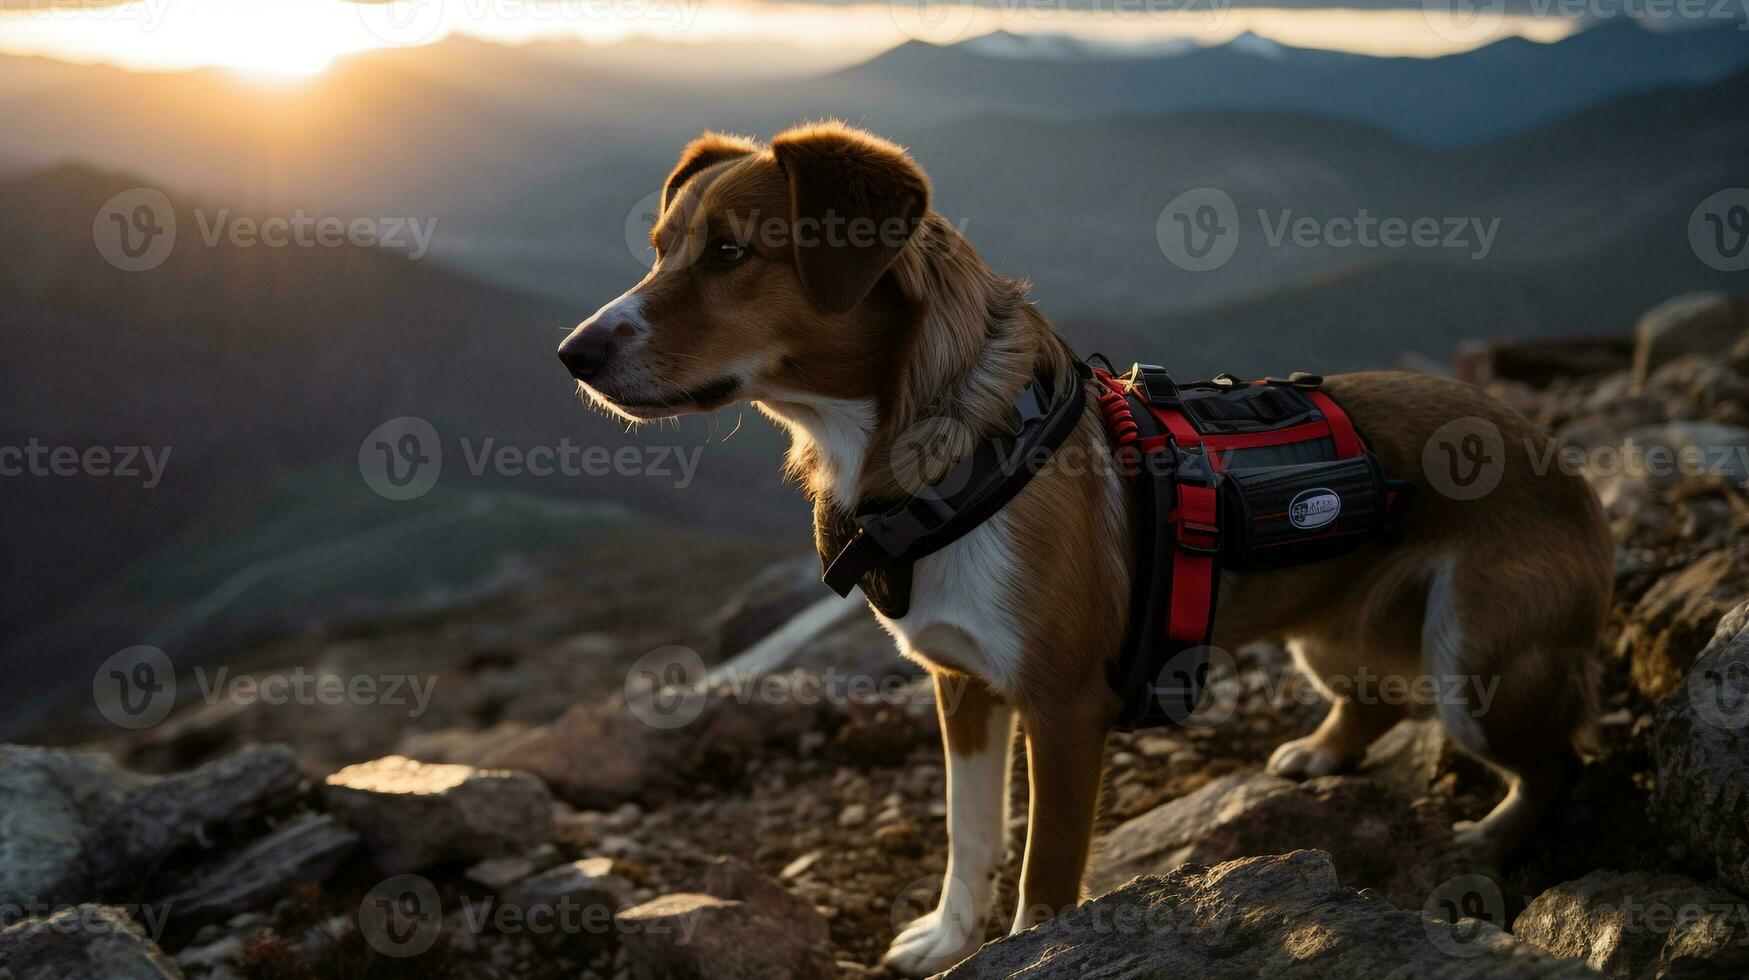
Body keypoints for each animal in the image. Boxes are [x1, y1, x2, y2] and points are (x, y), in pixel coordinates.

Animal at [559, 120, 1609, 973]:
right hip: (1330, 630)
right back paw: (1320, 753)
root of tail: (1559, 461)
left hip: (1473, 660)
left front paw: (1024, 948)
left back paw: (1486, 840)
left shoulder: (1064, 710)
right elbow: (970, 837)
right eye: (659, 250)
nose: (572, 354)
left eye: (730, 252)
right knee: (1370, 697)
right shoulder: (963, 685)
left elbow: (1045, 875)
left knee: (1557, 766)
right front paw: (946, 940)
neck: (944, 454)